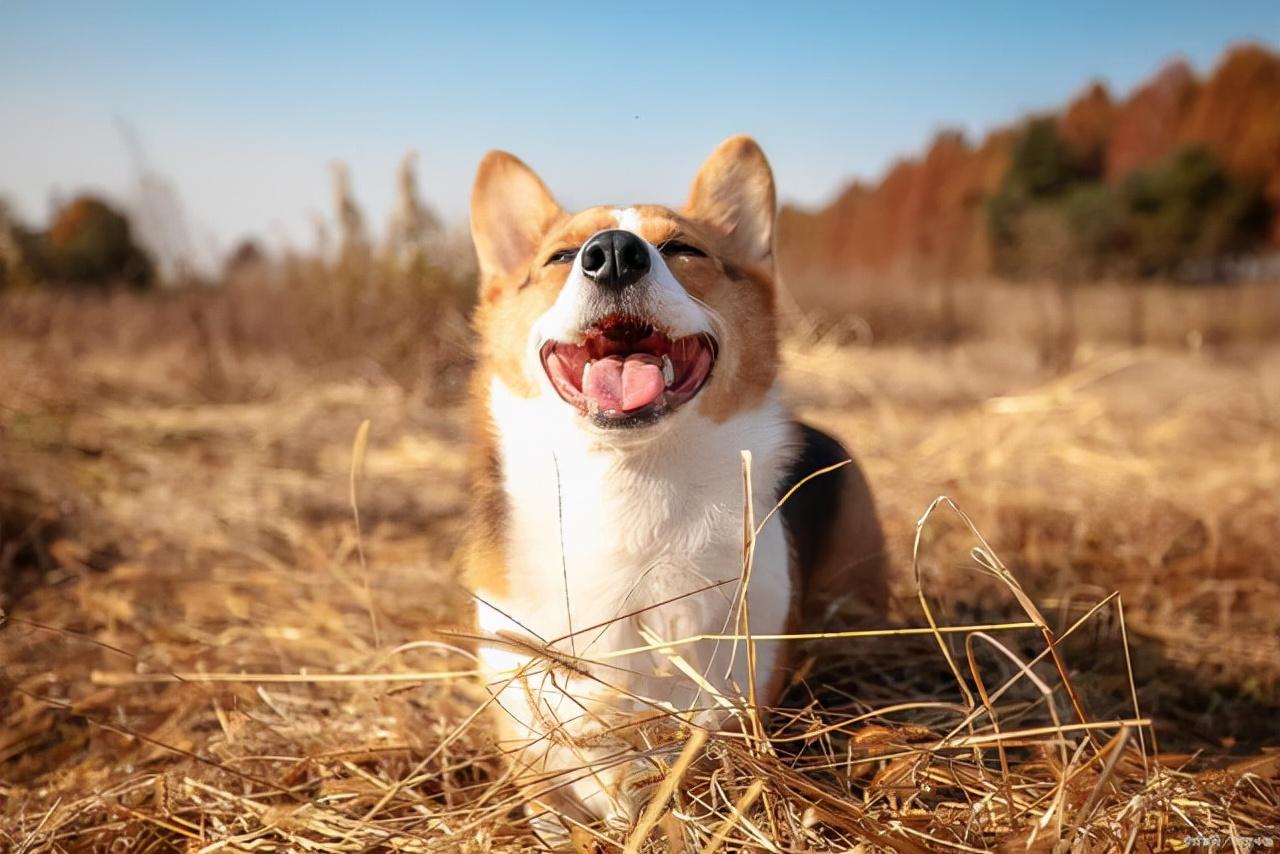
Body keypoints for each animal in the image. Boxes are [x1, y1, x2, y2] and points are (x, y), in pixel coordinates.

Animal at [465, 136, 885, 839]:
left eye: (684, 249)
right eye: (559, 257)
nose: (612, 253)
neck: (628, 484)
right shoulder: (530, 741)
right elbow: (555, 801)